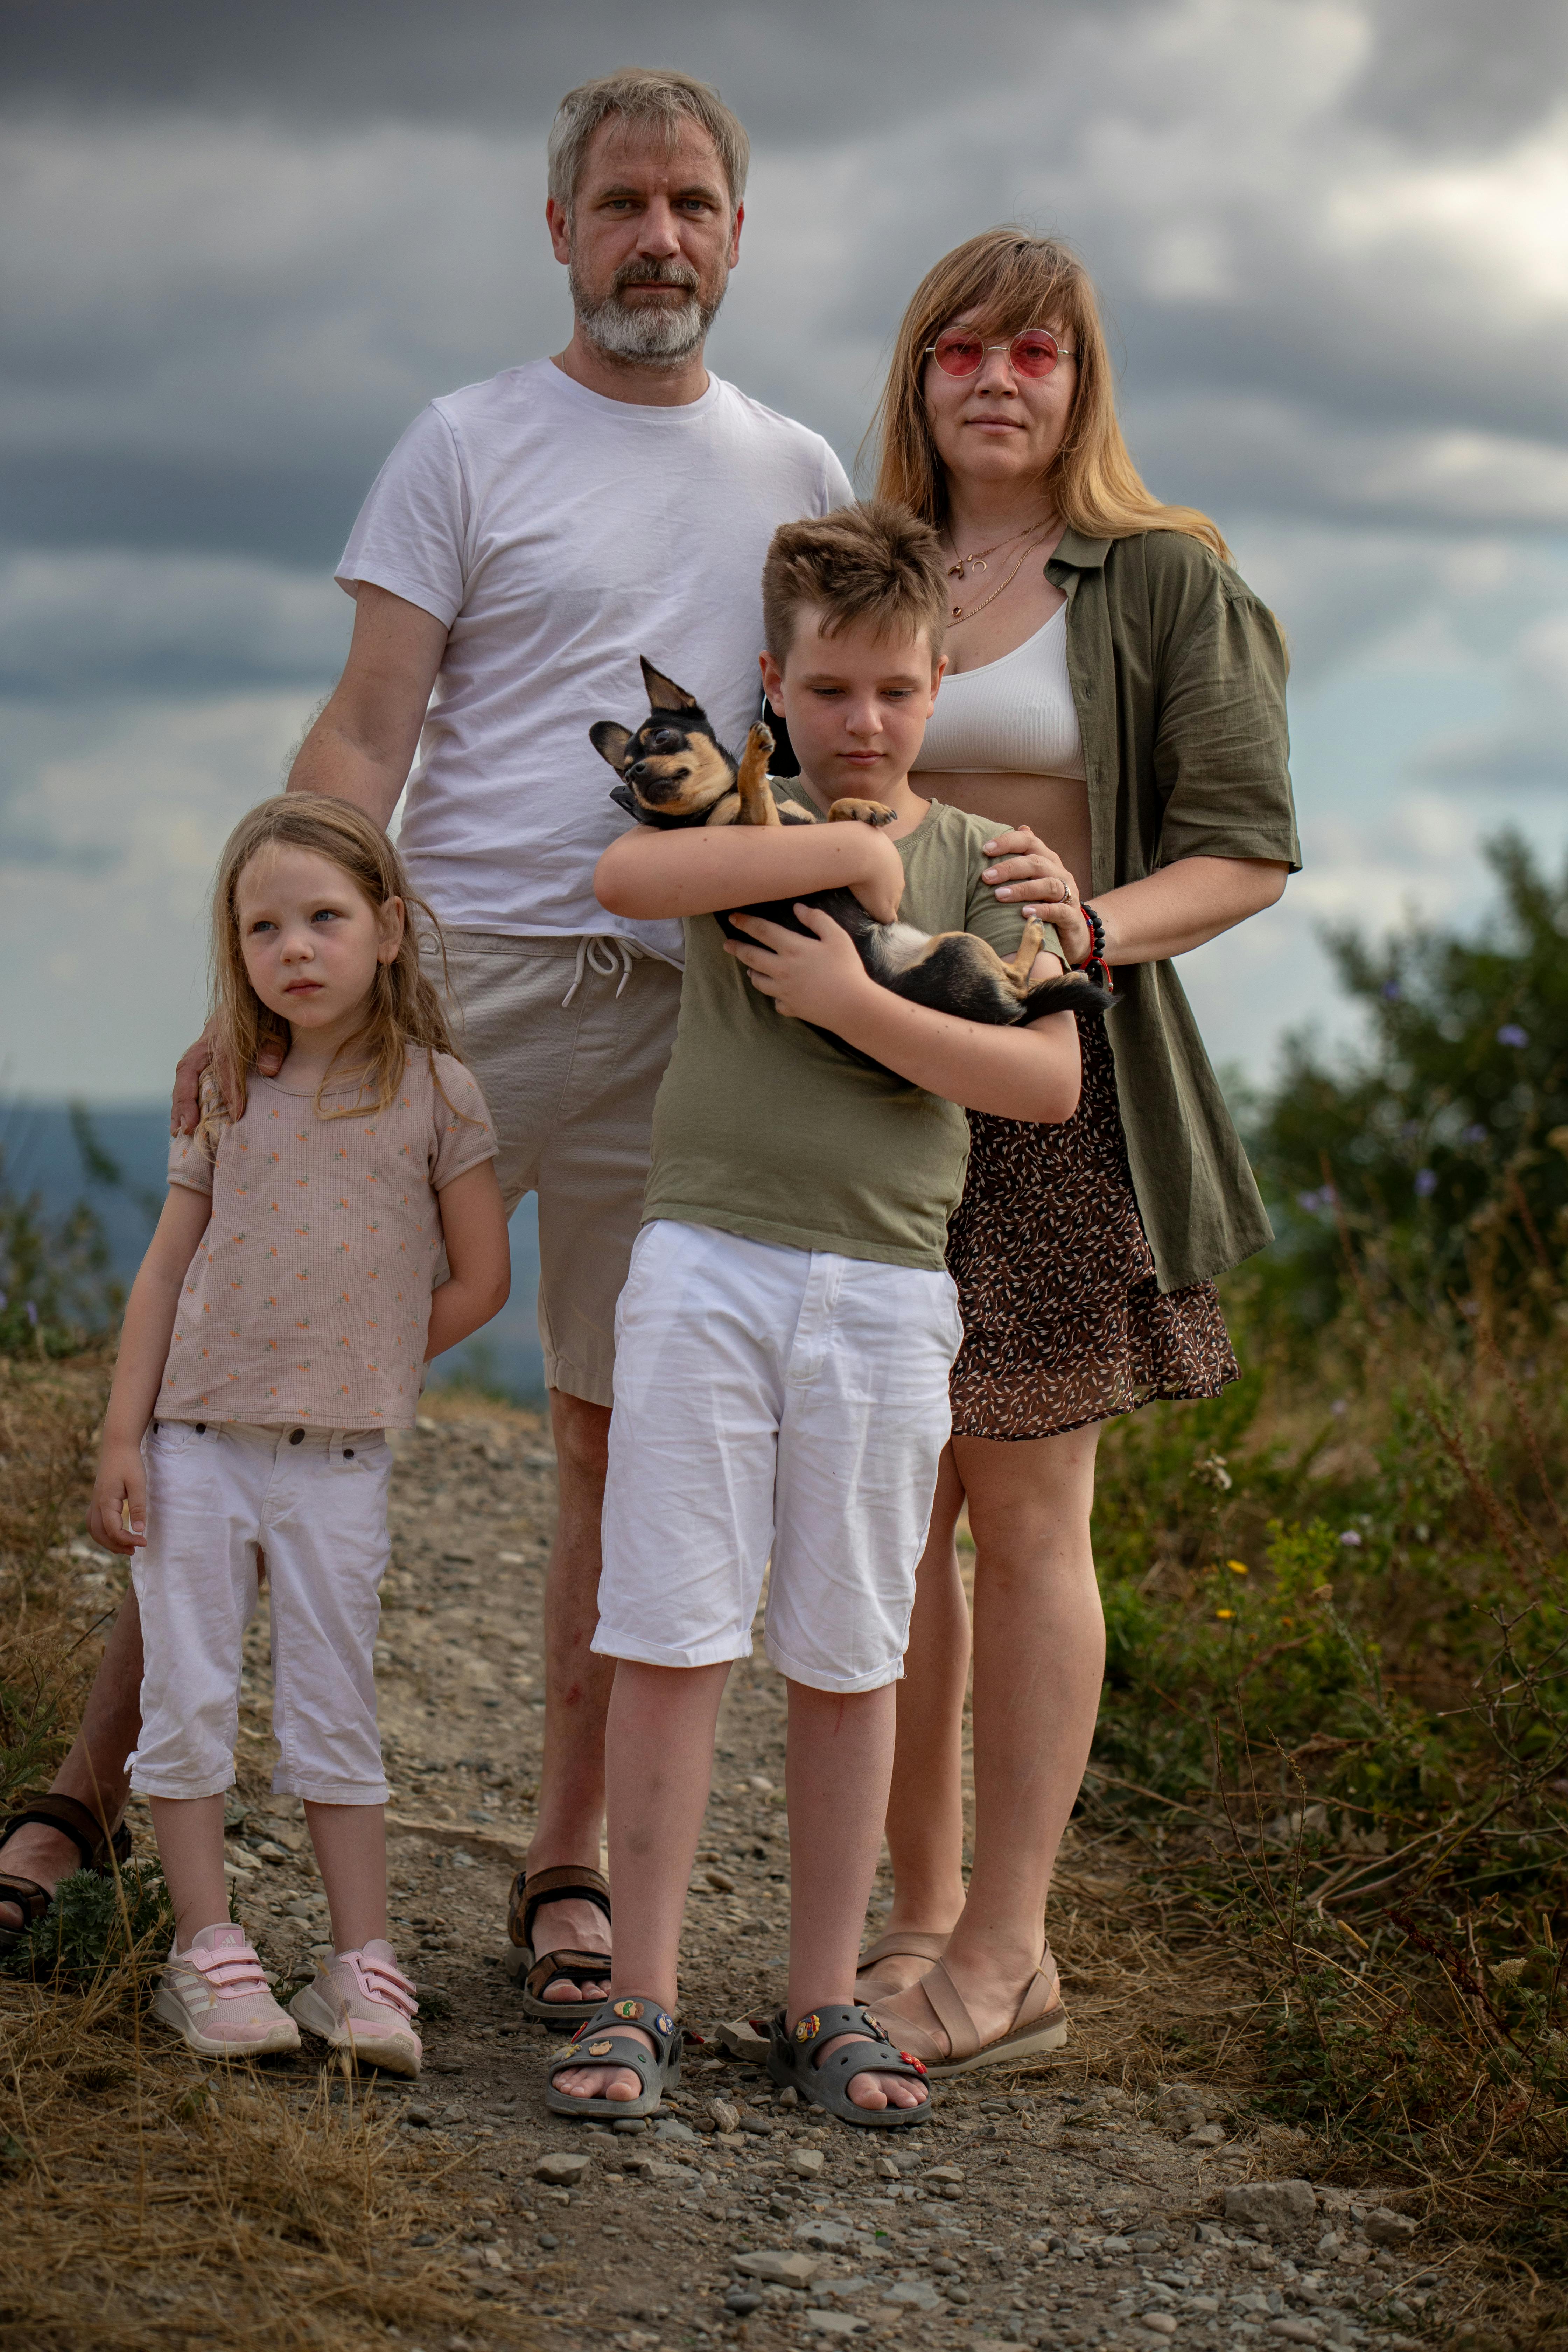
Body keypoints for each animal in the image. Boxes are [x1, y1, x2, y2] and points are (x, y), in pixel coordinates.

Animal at [588, 663, 1114, 1030]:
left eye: (661, 736)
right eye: (628, 770)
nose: (635, 775)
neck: (710, 807)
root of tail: (1009, 1017)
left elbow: (831, 812)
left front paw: (863, 808)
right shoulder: (758, 829)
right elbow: (753, 785)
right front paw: (757, 754)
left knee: (1020, 983)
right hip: (961, 949)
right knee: (1018, 980)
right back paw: (1035, 941)